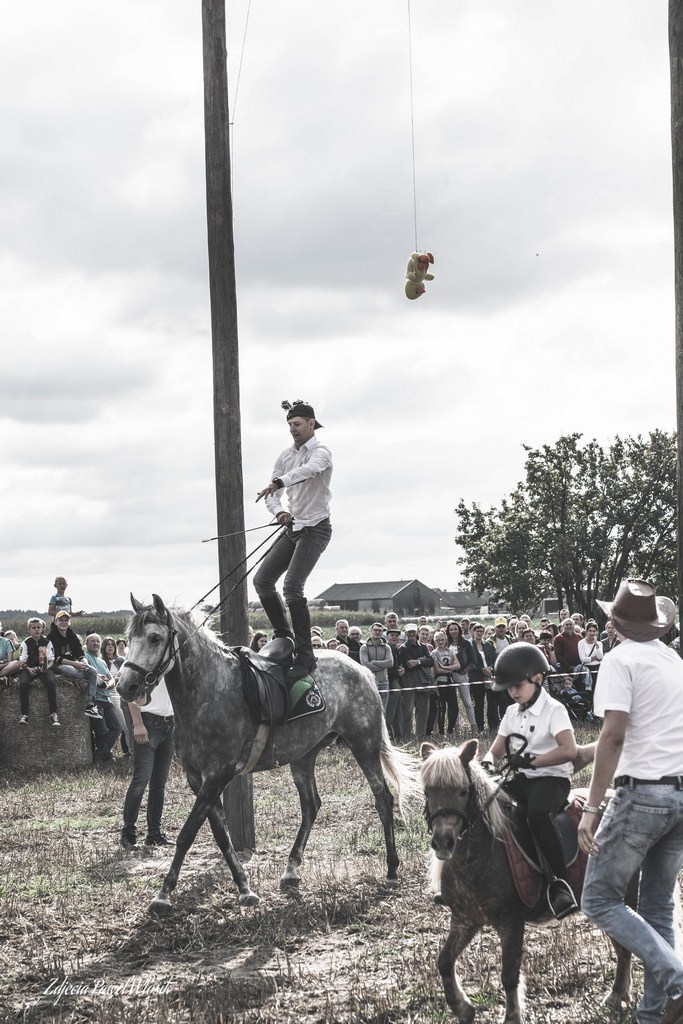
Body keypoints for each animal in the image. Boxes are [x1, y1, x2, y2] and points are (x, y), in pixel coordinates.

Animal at [419, 741, 634, 1024]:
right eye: (428, 792)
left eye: (463, 791)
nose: (443, 842)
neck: (480, 852)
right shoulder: (465, 918)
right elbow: (443, 961)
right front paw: (463, 1008)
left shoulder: (511, 921)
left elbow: (509, 975)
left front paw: (511, 1016)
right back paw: (619, 994)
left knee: (629, 944)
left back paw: (619, 994)